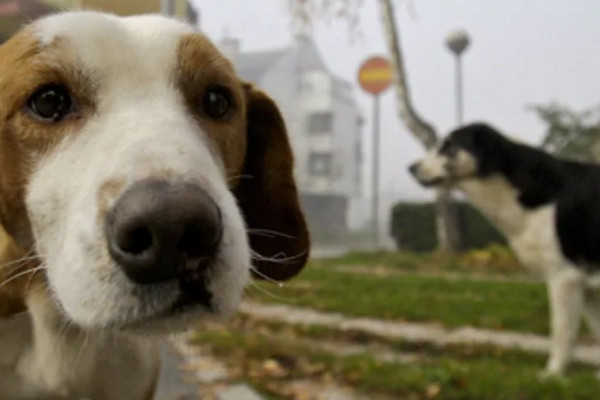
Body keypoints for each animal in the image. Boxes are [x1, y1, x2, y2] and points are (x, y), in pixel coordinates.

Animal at [410, 124, 600, 378]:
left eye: (449, 147)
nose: (411, 168)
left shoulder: (564, 277)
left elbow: (561, 333)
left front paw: (552, 375)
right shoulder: (587, 283)